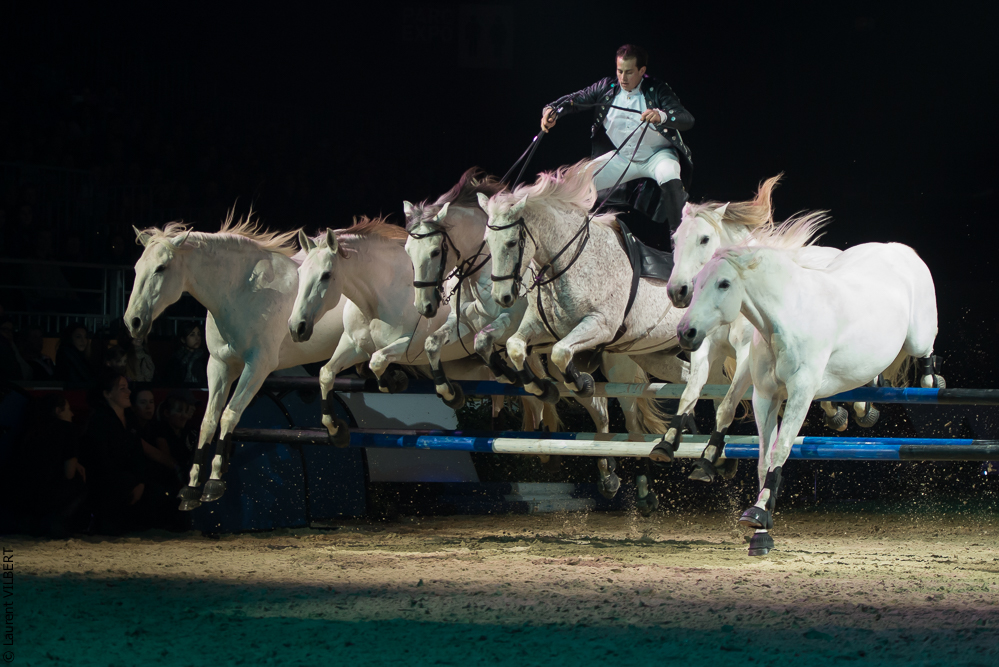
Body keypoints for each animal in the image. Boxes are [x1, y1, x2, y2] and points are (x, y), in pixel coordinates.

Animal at [124, 216, 348, 510]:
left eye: (161, 268)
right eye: (137, 268)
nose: (133, 321)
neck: (243, 292)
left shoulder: (257, 367)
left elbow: (229, 414)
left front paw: (214, 483)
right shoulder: (220, 366)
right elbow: (209, 421)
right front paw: (192, 489)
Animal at [663, 174, 879, 482]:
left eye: (704, 238)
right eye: (675, 239)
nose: (678, 291)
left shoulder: (746, 357)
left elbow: (727, 406)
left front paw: (708, 457)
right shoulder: (706, 346)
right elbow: (689, 393)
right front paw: (666, 443)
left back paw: (864, 408)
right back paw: (836, 412)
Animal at [676, 215, 944, 556]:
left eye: (724, 283)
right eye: (698, 283)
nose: (686, 332)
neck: (786, 317)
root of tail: (899, 249)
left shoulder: (801, 395)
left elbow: (781, 451)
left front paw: (759, 514)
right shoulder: (766, 397)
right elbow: (764, 460)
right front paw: (761, 531)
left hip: (918, 336)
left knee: (926, 352)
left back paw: (931, 380)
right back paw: (864, 405)